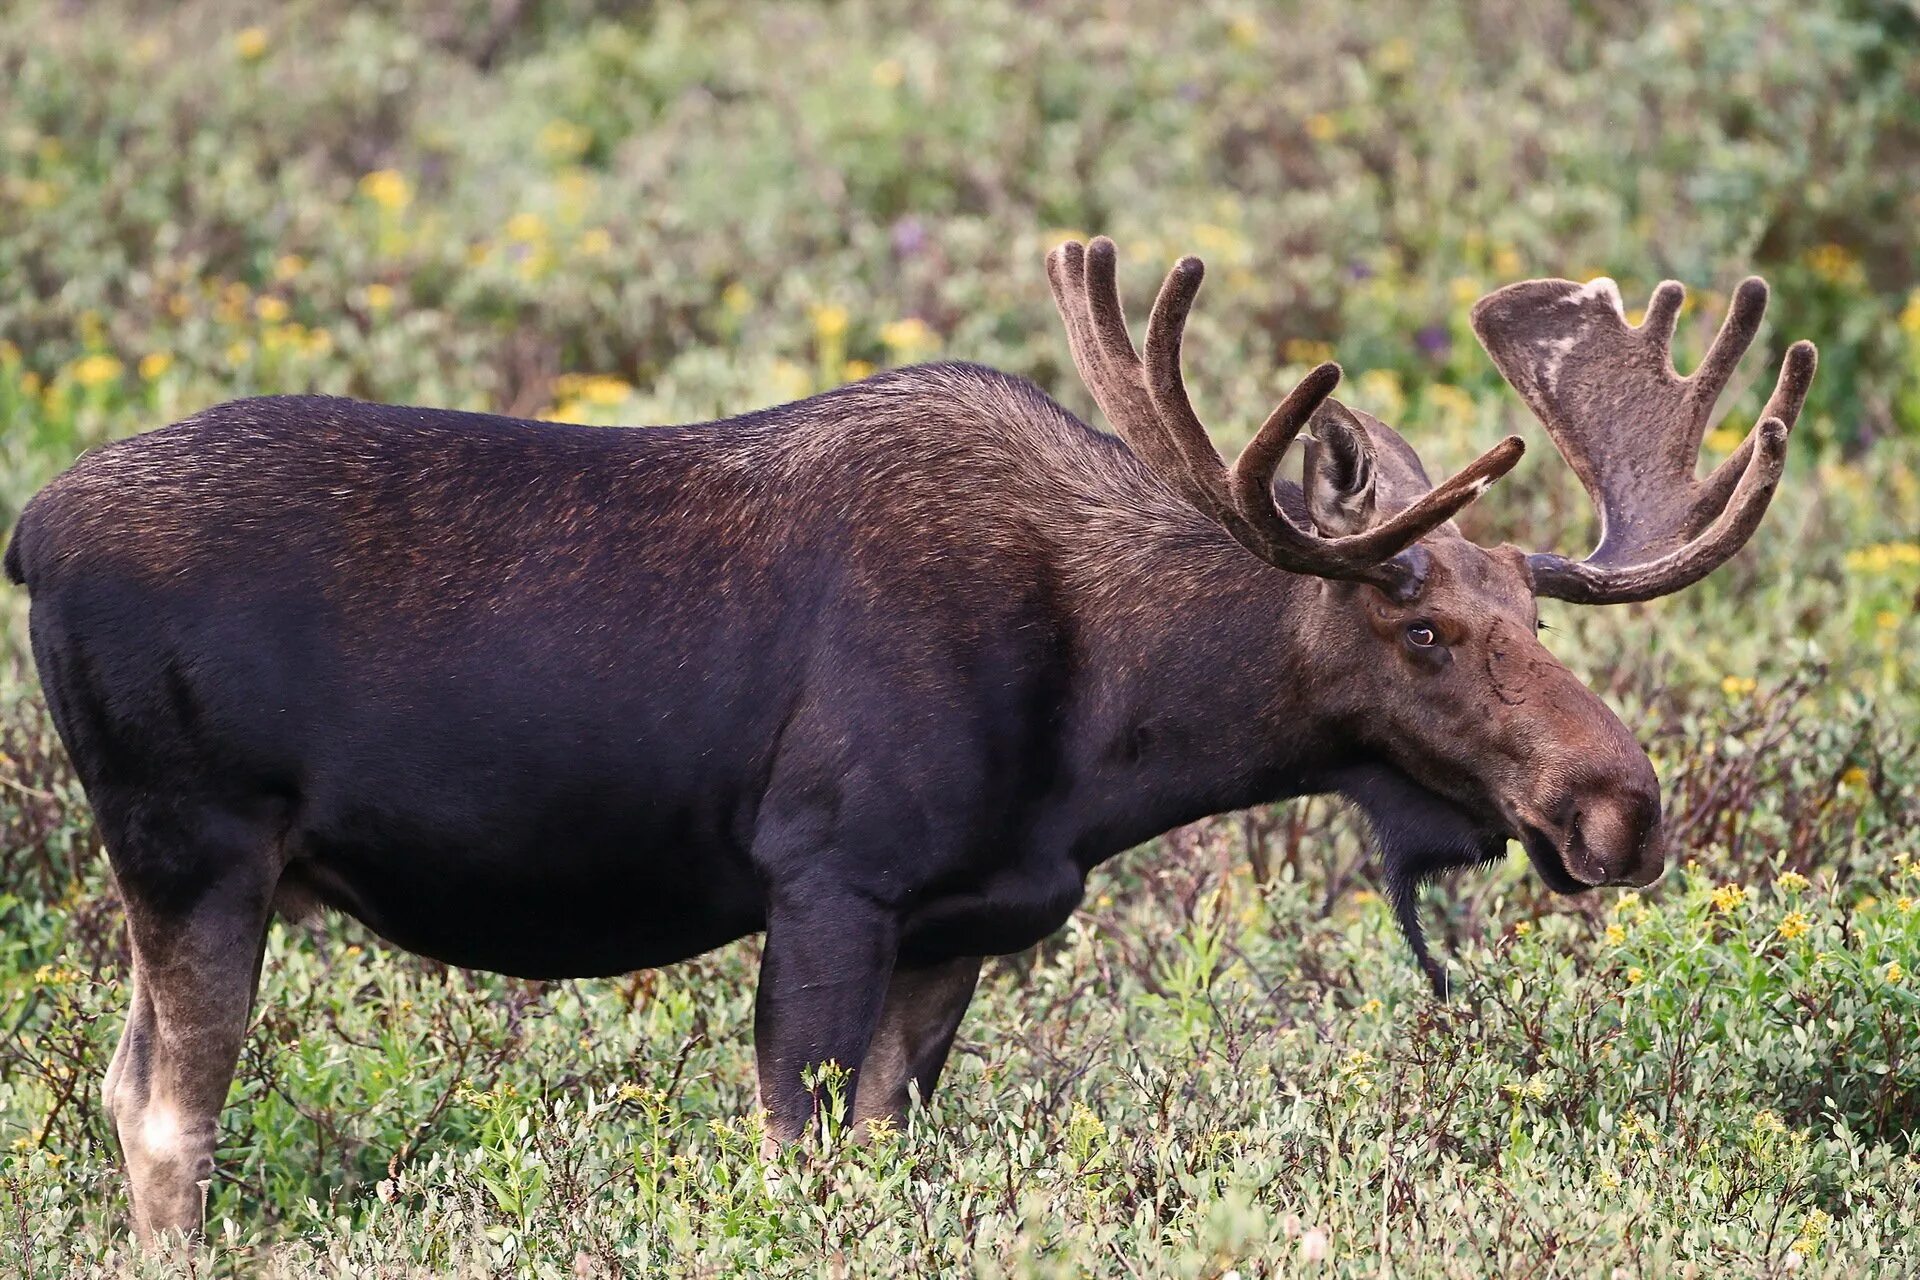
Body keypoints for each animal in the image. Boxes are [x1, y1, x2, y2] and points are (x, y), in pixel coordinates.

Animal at [7, 239, 1812, 1243]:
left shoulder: (967, 925)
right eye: (1424, 633)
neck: (1109, 735)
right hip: (194, 846)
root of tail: (29, 535)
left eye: (1539, 616)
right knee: (169, 1117)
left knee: (116, 1086)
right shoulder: (829, 879)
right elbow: (792, 1163)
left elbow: (884, 1157)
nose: (1623, 805)